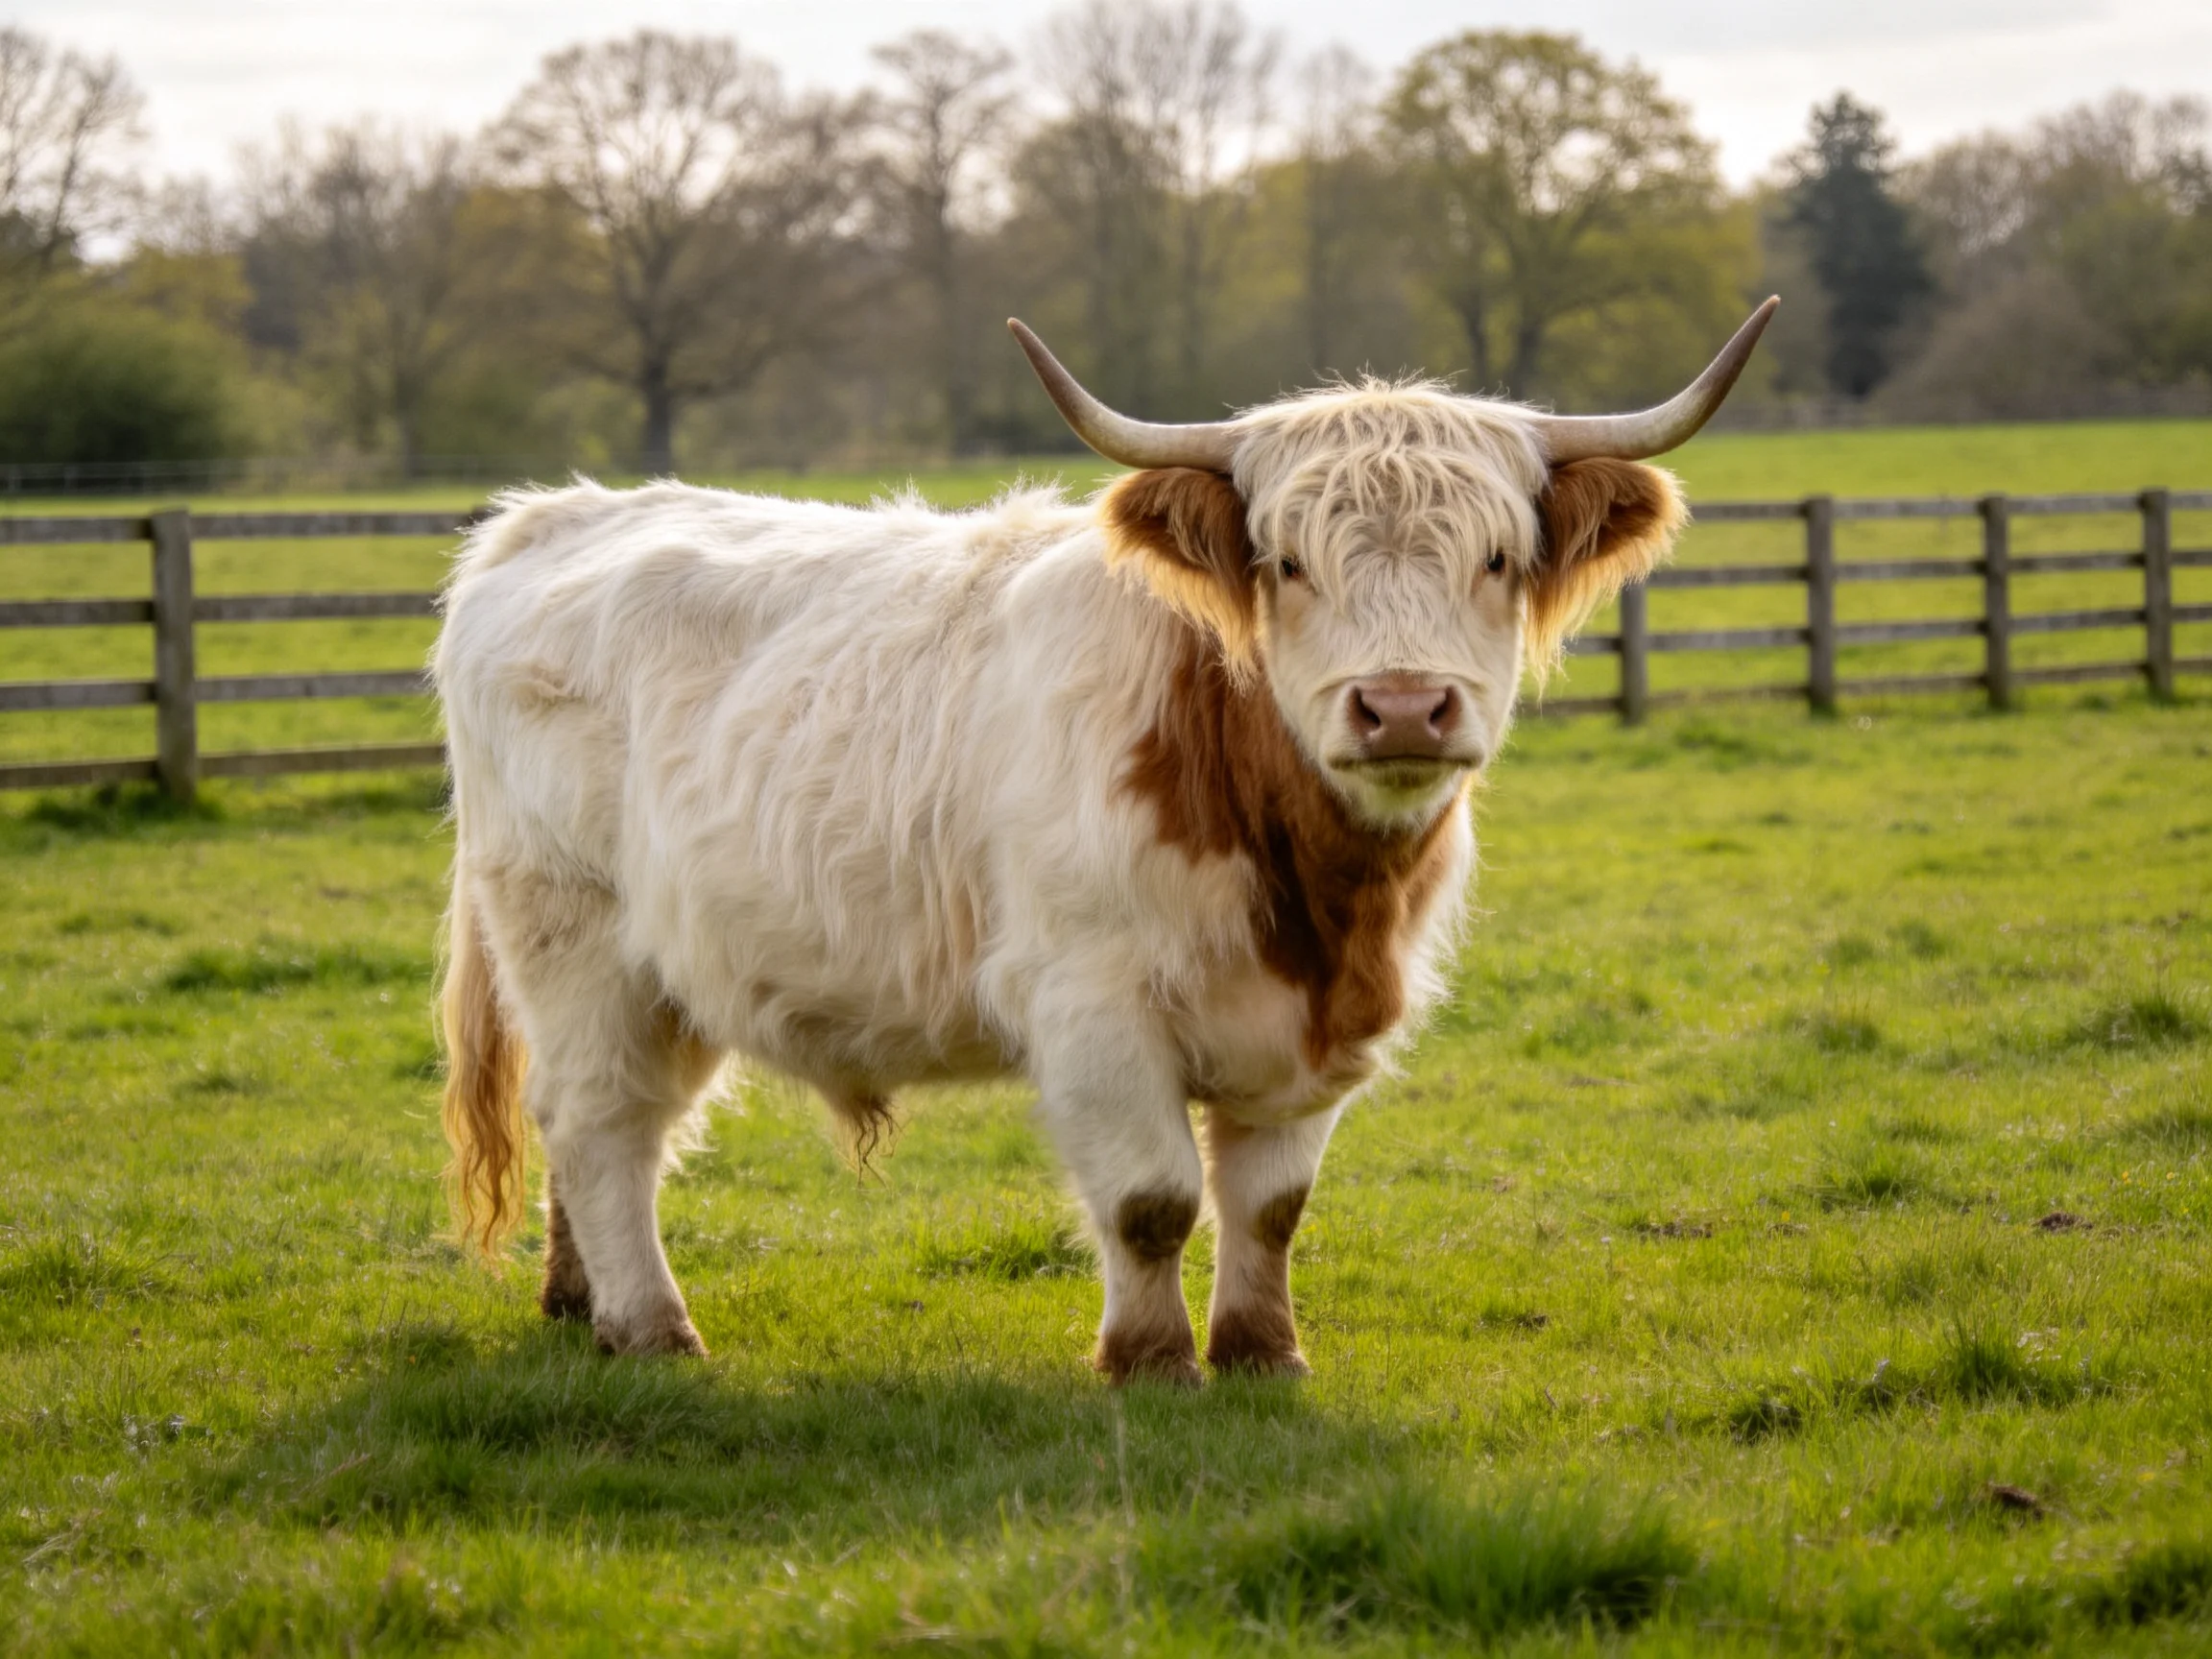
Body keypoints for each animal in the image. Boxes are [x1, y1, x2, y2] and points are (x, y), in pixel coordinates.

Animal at [434, 299, 1776, 1381]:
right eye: (1285, 560)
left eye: (1498, 557)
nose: (1401, 705)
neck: (1312, 900)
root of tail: (556, 515)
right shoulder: (1092, 1005)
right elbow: (1151, 1200)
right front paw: (1148, 1361)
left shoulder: (1320, 1027)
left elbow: (1271, 1206)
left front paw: (1262, 1354)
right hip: (571, 933)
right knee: (601, 1118)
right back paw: (651, 1327)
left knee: (606, 1129)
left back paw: (578, 1303)